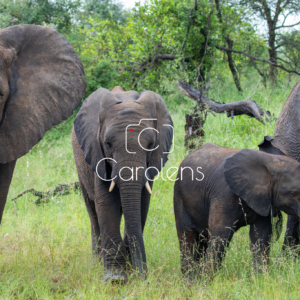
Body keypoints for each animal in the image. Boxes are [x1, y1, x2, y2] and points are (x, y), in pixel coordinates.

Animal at [71, 85, 173, 282]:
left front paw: (130, 270)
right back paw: (97, 263)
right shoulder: (97, 153)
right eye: (108, 144)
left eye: (151, 144)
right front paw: (116, 278)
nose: (144, 278)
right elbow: (106, 204)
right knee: (93, 212)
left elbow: (141, 204)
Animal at [172, 142, 300, 280]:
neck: (272, 161)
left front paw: (260, 279)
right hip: (179, 195)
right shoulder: (224, 194)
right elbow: (221, 233)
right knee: (187, 235)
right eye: (293, 193)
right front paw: (207, 281)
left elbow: (261, 234)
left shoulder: (262, 198)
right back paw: (190, 279)